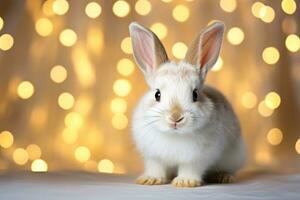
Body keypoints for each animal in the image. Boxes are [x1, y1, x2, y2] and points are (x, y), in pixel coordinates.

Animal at [129, 21, 246, 188]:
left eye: (195, 94)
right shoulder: (153, 157)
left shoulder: (196, 159)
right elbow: (156, 167)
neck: (174, 135)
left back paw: (224, 177)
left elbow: (190, 168)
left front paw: (185, 182)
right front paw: (150, 180)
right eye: (157, 94)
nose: (175, 117)